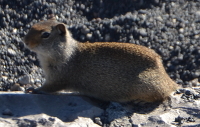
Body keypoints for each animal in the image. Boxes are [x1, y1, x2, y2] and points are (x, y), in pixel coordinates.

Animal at [23, 18, 178, 102]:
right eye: (32, 26)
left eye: (45, 34)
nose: (25, 41)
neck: (67, 51)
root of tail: (169, 80)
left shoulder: (59, 77)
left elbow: (49, 88)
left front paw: (34, 89)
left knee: (162, 96)